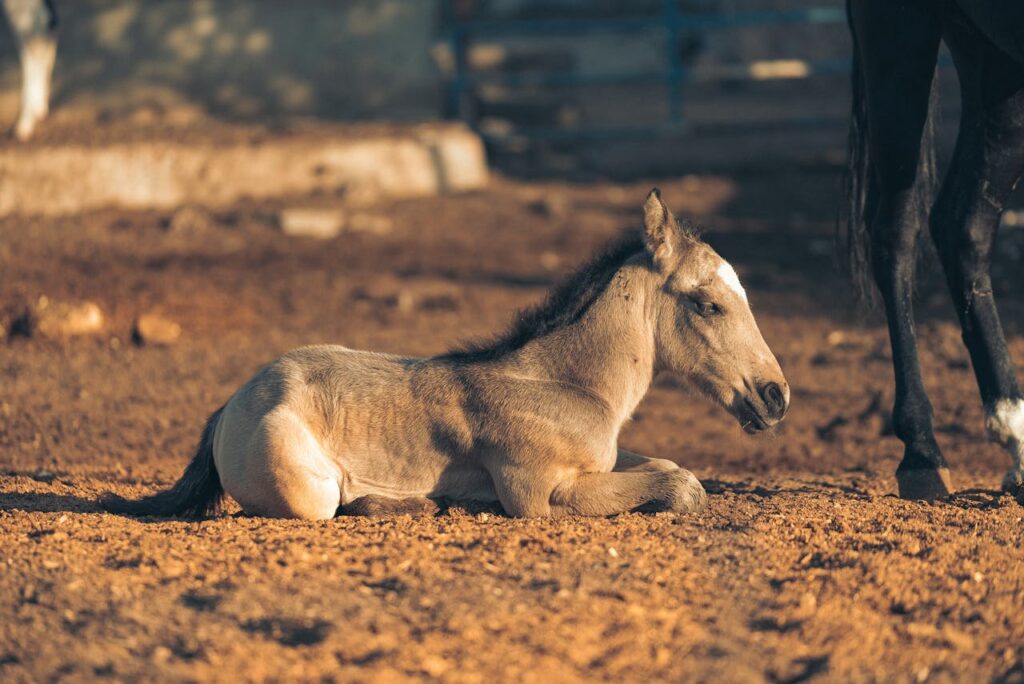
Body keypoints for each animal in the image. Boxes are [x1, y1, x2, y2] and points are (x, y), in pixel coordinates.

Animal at [105, 189, 790, 520]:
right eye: (709, 304)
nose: (776, 396)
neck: (562, 385)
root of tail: (230, 406)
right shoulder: (539, 495)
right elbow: (681, 484)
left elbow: (670, 466)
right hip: (306, 488)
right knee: (331, 504)